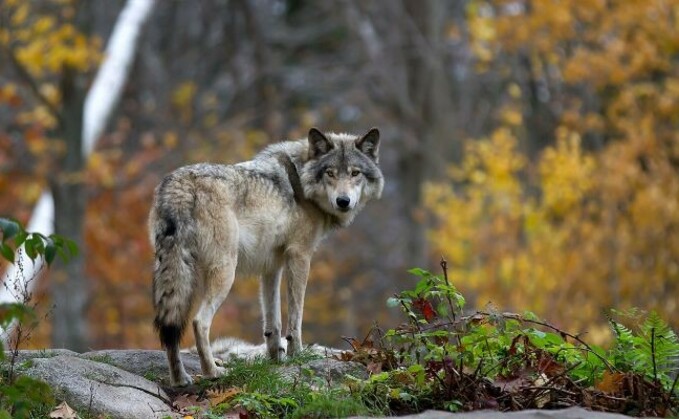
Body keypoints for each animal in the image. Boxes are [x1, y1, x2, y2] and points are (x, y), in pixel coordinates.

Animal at [149, 128, 382, 388]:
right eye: (330, 173)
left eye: (355, 173)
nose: (343, 201)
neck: (301, 181)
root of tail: (180, 184)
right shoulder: (300, 256)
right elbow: (295, 317)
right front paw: (297, 355)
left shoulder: (271, 266)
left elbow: (273, 322)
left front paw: (275, 360)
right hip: (225, 271)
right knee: (199, 322)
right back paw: (212, 372)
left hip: (174, 273)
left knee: (170, 328)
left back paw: (180, 379)